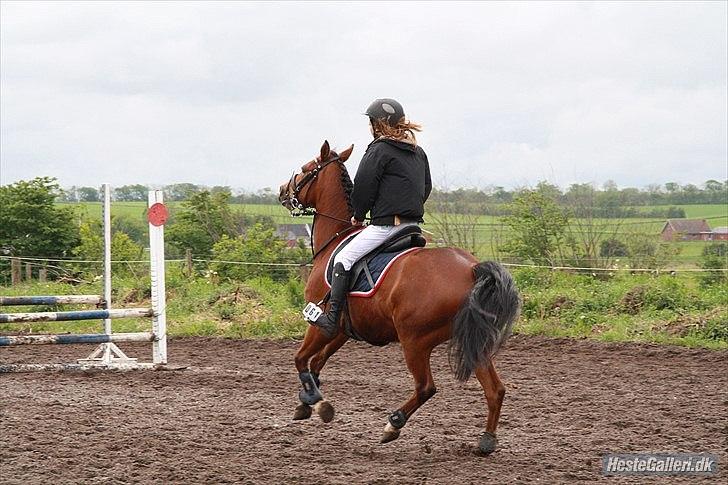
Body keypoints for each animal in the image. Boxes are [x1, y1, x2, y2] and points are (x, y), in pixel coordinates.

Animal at [278, 140, 521, 454]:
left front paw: (318, 404)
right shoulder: (341, 330)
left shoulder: (320, 323)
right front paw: (306, 401)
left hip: (414, 341)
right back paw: (487, 440)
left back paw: (393, 424)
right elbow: (316, 362)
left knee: (426, 387)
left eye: (307, 168)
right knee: (495, 389)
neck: (337, 237)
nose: (283, 190)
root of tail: (471, 269)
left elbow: (300, 359)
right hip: (474, 340)